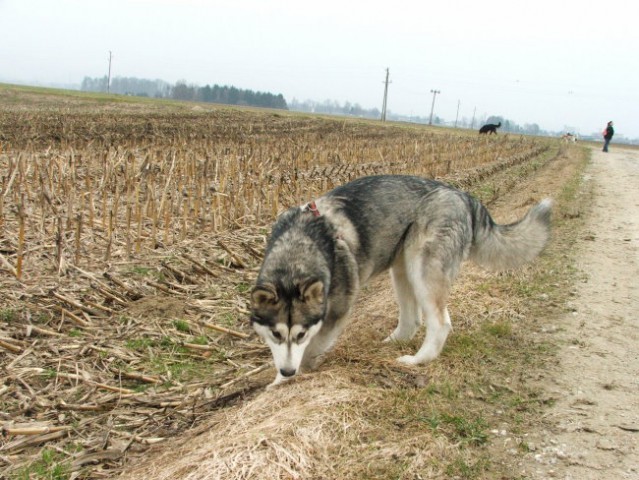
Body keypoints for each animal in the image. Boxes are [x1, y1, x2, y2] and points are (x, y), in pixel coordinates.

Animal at [250, 174, 552, 384]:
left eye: (300, 334)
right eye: (275, 334)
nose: (287, 372)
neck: (299, 247)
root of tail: (463, 196)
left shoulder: (336, 312)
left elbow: (311, 349)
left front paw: (285, 380)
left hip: (423, 269)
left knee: (440, 323)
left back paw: (417, 360)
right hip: (402, 268)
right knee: (412, 319)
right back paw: (390, 342)